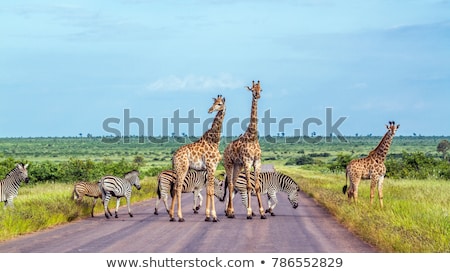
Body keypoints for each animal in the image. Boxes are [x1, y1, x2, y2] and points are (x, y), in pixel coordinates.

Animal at [169, 93, 225, 221]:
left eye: (219, 104)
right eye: (214, 103)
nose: (210, 110)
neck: (215, 141)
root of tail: (174, 157)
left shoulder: (209, 168)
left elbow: (208, 190)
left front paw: (208, 215)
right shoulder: (212, 166)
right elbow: (211, 190)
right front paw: (214, 216)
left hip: (177, 170)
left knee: (174, 188)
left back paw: (172, 215)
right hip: (182, 169)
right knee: (178, 188)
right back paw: (180, 216)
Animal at [223, 79, 266, 219]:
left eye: (260, 89)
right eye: (252, 89)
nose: (257, 95)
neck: (252, 136)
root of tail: (225, 150)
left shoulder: (257, 162)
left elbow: (256, 186)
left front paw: (262, 212)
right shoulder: (247, 162)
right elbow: (248, 186)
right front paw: (249, 212)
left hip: (238, 165)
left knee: (233, 182)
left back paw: (230, 211)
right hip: (229, 164)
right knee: (230, 184)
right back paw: (230, 211)